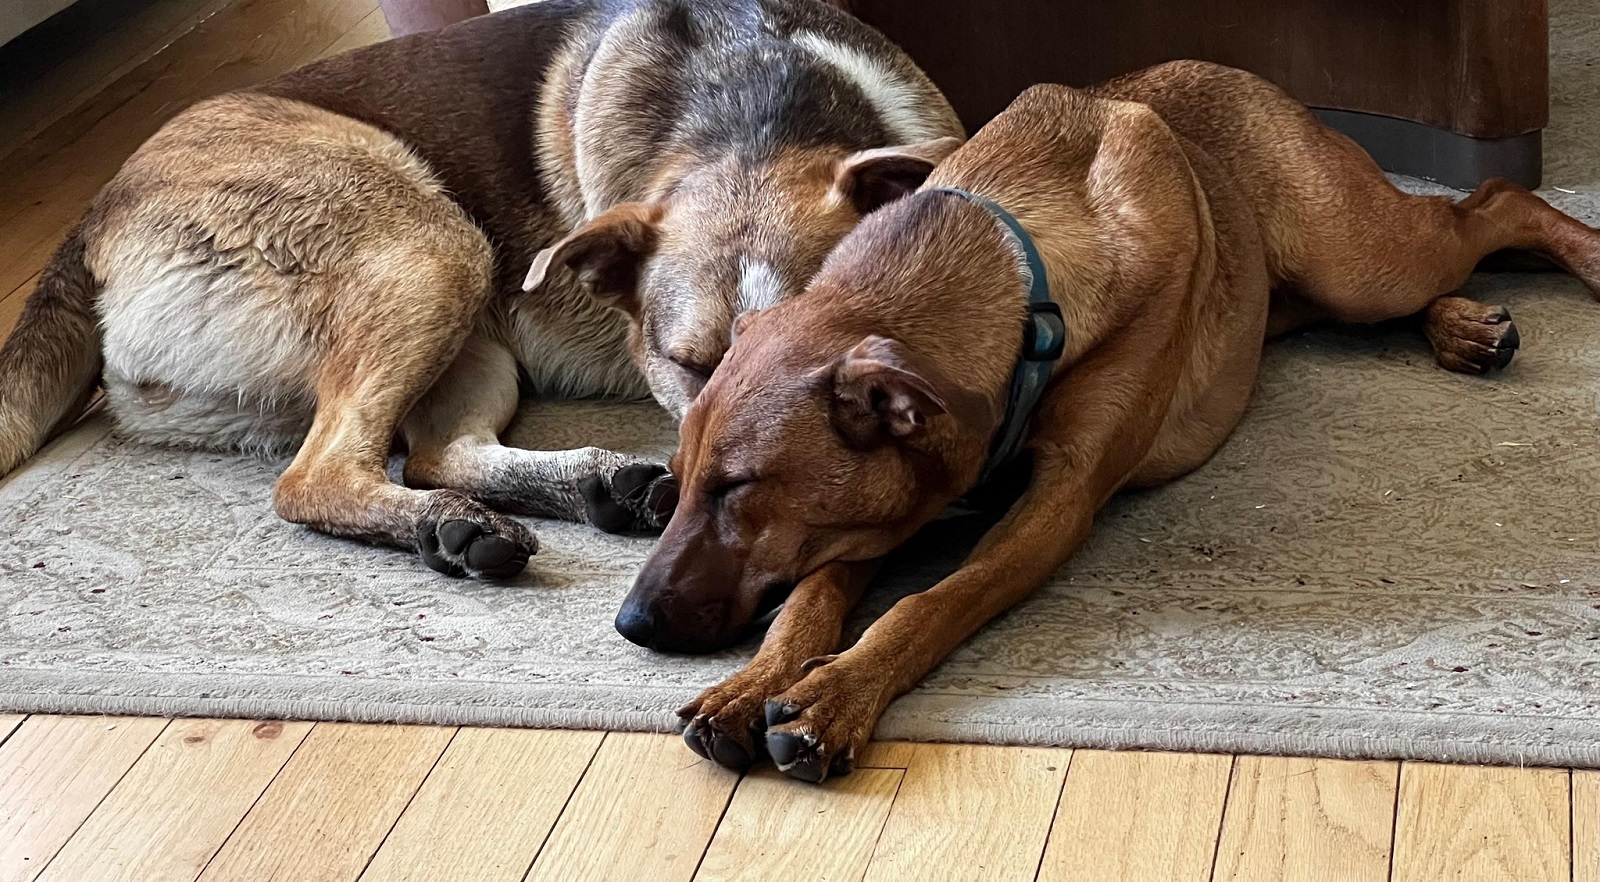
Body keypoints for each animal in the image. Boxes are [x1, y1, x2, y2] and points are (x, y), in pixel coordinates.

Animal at [0, 0, 953, 579]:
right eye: (688, 368)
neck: (755, 115)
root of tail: (95, 214)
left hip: (463, 320)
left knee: (432, 450)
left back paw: (590, 488)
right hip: (432, 248)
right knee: (319, 474)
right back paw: (450, 524)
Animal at [614, 60, 1600, 781]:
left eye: (740, 488)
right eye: (680, 481)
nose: (630, 624)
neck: (1019, 275)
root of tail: (1247, 74)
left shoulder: (1058, 504)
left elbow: (931, 603)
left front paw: (835, 696)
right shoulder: (883, 510)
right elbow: (808, 602)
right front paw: (755, 684)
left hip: (1358, 258)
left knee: (1493, 201)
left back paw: (1577, 260)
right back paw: (1462, 324)